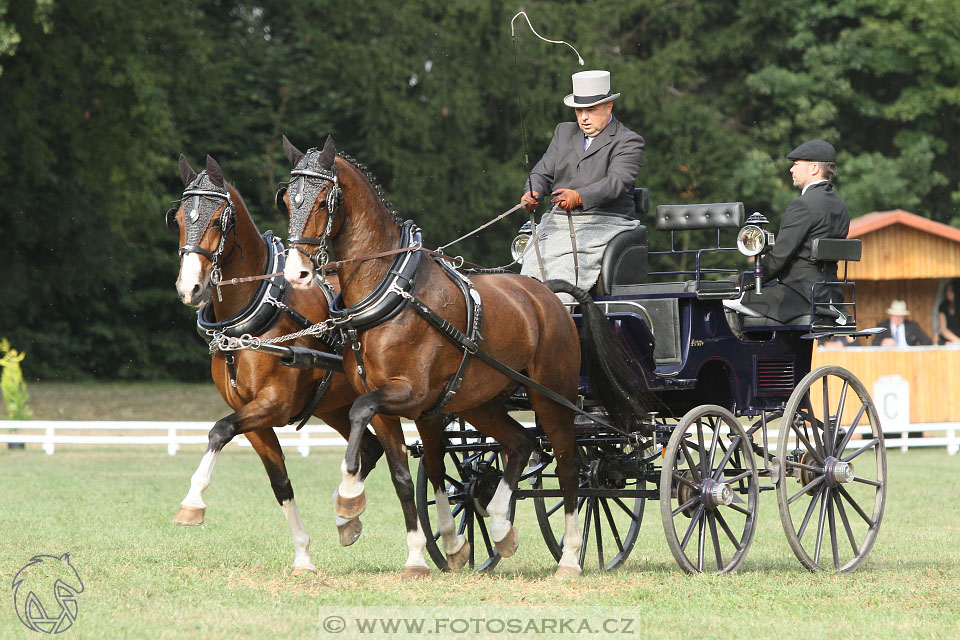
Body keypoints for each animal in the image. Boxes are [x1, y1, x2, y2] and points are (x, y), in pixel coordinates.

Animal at [169, 154, 402, 576]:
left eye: (217, 220)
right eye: (177, 218)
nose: (189, 288)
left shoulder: (273, 405)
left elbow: (218, 430)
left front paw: (192, 503)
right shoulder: (254, 418)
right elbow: (280, 483)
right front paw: (304, 555)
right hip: (335, 405)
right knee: (370, 449)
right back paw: (346, 515)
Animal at [278, 138, 652, 576]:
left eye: (324, 200)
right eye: (286, 200)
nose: (297, 274)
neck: (393, 290)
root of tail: (548, 294)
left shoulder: (412, 395)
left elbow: (361, 414)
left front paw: (348, 502)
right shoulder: (399, 408)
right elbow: (406, 476)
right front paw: (420, 554)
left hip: (551, 396)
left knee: (568, 465)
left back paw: (570, 558)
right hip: (480, 402)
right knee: (521, 443)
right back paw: (502, 527)